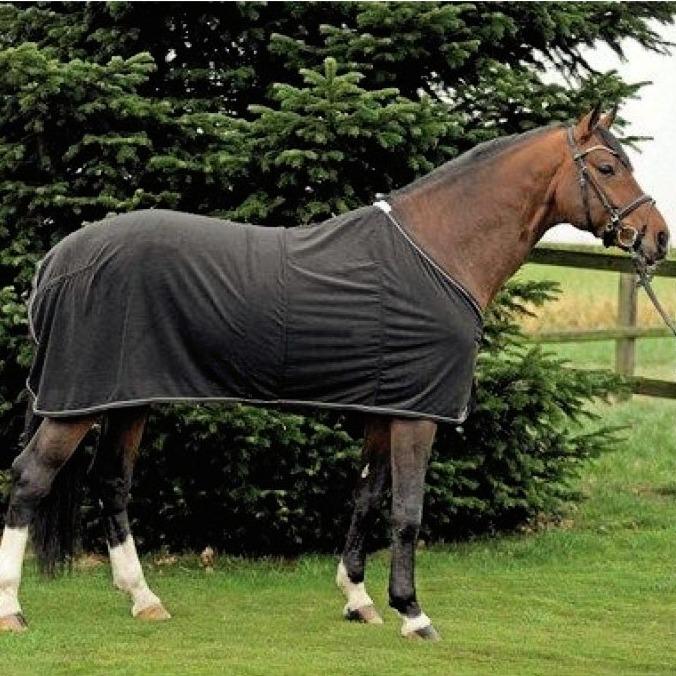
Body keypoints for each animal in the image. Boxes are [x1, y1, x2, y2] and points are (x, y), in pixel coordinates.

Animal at [0, 106, 669, 640]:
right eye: (608, 167)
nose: (658, 238)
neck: (439, 252)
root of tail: (58, 259)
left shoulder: (385, 407)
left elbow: (367, 496)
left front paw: (358, 599)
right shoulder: (418, 414)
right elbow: (407, 511)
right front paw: (413, 614)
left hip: (127, 398)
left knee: (112, 483)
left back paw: (144, 599)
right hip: (78, 403)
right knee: (30, 478)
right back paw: (13, 611)